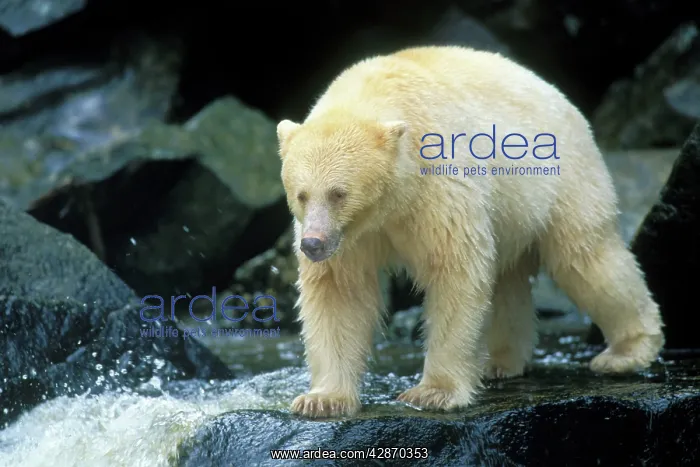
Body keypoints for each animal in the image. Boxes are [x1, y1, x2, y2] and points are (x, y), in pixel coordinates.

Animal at [276, 45, 665, 419]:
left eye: (339, 193)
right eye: (301, 194)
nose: (312, 244)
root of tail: (558, 95)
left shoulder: (436, 185)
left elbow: (454, 270)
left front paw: (434, 393)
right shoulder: (352, 238)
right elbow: (339, 292)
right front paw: (322, 400)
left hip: (561, 175)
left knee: (586, 258)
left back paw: (627, 351)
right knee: (509, 280)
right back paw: (502, 362)